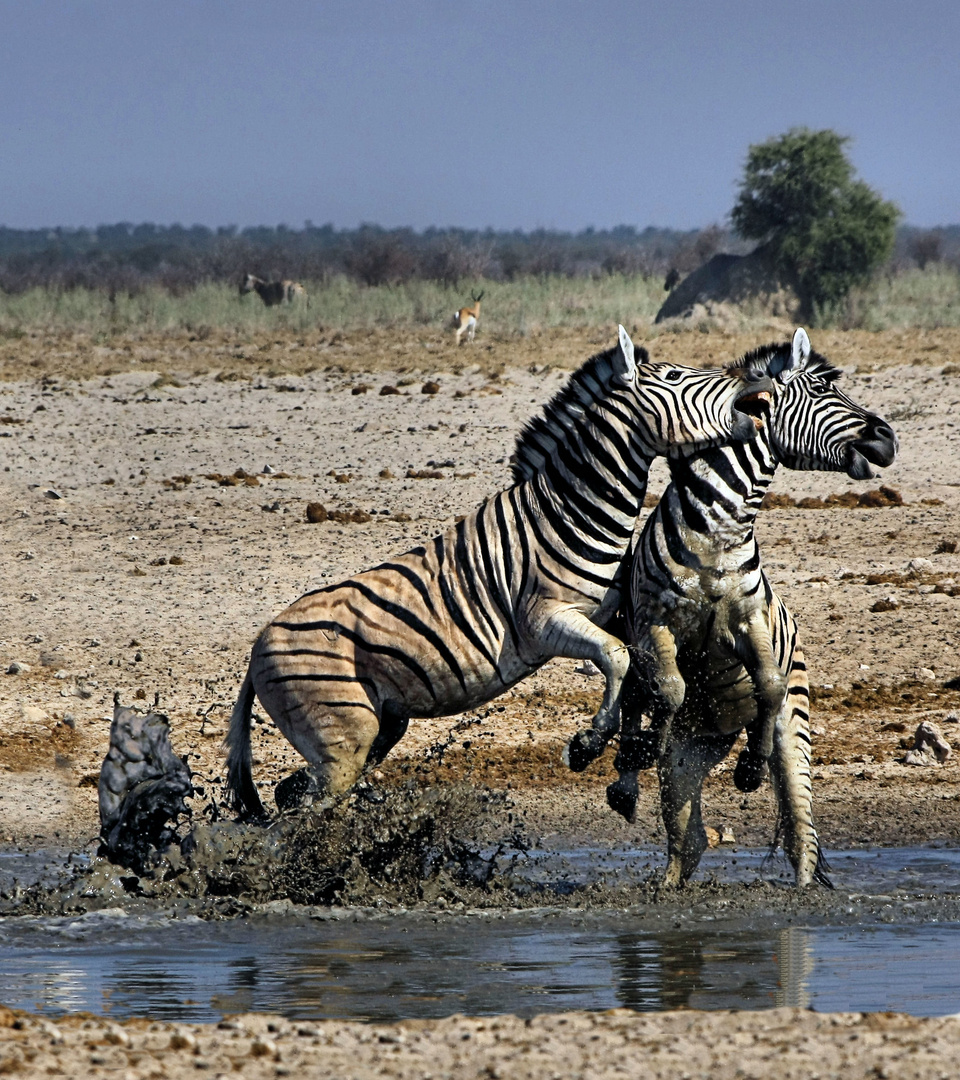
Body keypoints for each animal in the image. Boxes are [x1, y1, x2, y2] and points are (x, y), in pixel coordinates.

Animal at [224, 328, 773, 816]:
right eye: (678, 376)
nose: (756, 381)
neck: (569, 511)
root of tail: (255, 652)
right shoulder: (544, 621)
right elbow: (616, 658)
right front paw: (588, 742)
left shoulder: (613, 612)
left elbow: (637, 666)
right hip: (343, 736)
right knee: (300, 812)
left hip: (372, 727)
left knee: (291, 796)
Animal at [604, 328, 894, 885]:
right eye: (823, 391)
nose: (888, 439)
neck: (719, 529)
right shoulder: (655, 621)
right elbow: (665, 688)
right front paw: (641, 753)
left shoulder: (749, 619)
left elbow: (770, 684)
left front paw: (750, 767)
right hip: (691, 751)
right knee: (687, 837)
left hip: (789, 734)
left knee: (800, 832)